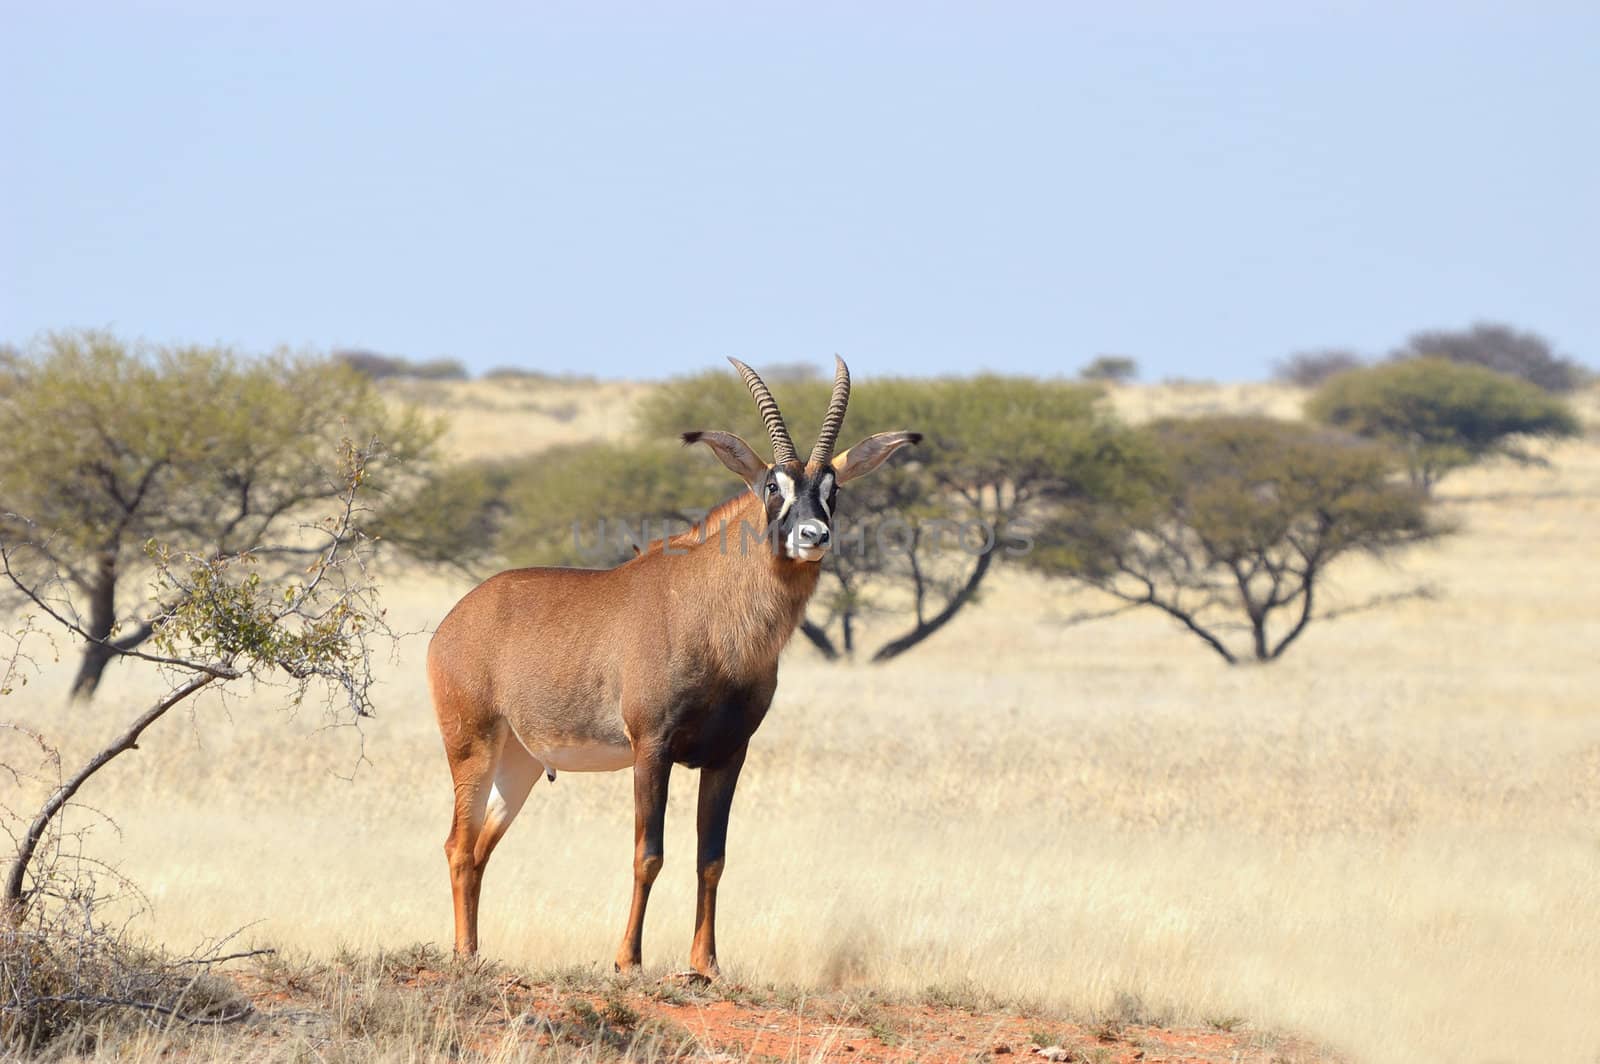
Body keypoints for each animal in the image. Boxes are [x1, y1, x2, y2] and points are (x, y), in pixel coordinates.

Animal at [425, 361, 921, 972]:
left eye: (833, 488)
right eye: (771, 486)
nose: (813, 536)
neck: (711, 613)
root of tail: (455, 620)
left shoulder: (729, 755)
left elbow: (712, 858)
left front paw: (705, 963)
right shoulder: (651, 749)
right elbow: (649, 854)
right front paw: (628, 959)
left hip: (519, 762)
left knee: (478, 849)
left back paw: (473, 952)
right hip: (471, 745)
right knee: (457, 843)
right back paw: (463, 954)